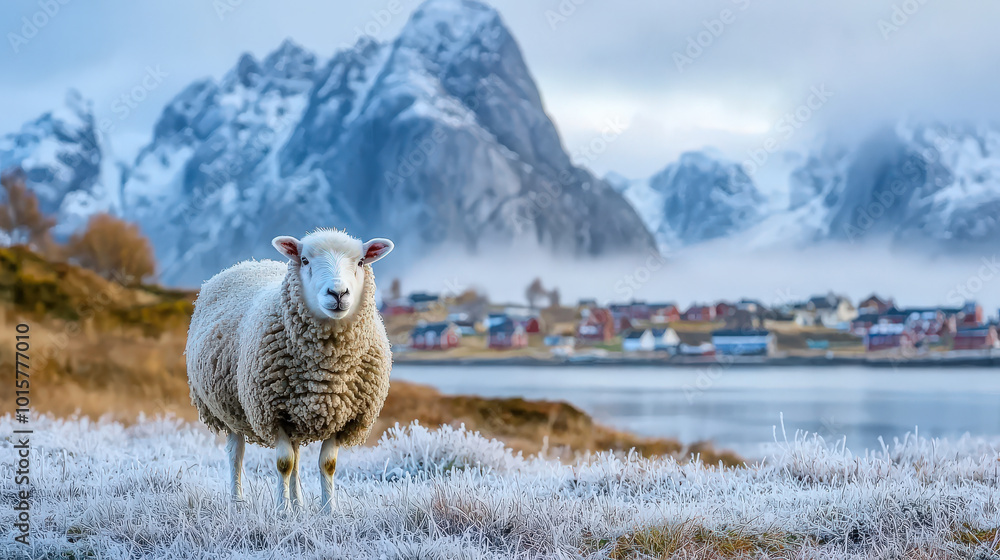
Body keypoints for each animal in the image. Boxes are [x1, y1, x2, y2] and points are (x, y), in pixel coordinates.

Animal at [185, 229, 394, 511]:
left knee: (296, 455)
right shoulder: (272, 412)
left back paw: (299, 503)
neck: (327, 374)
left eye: (361, 262)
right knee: (236, 454)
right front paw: (281, 510)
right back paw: (238, 500)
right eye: (304, 260)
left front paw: (329, 510)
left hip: (296, 412)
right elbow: (283, 463)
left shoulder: (344, 416)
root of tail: (250, 263)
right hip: (230, 408)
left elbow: (327, 465)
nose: (338, 293)